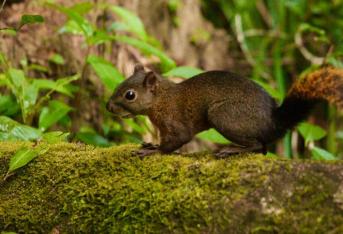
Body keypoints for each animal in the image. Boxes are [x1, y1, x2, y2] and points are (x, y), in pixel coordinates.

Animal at [107, 63, 343, 157]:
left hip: (222, 115)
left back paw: (232, 149)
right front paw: (152, 144)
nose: (108, 107)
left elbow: (178, 140)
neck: (161, 99)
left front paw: (154, 151)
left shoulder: (174, 121)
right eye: (119, 84)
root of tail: (274, 120)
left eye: (130, 95)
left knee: (258, 146)